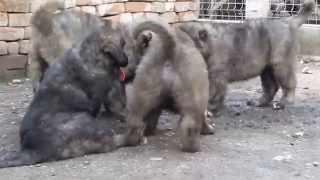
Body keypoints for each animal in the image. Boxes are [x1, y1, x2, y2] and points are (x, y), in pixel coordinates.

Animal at [0, 27, 128, 169]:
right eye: (123, 43)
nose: (126, 59)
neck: (89, 52)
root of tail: (31, 150)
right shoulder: (110, 94)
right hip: (85, 121)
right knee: (110, 141)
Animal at [124, 20, 214, 153]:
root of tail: (170, 46)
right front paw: (207, 129)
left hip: (143, 90)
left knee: (135, 120)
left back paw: (133, 139)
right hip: (195, 97)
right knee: (190, 125)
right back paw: (192, 147)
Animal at [180, 0, 316, 114]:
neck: (209, 43)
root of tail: (288, 21)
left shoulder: (216, 76)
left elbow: (213, 93)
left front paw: (210, 109)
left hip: (281, 63)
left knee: (288, 83)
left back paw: (283, 102)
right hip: (267, 68)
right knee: (271, 87)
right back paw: (259, 102)